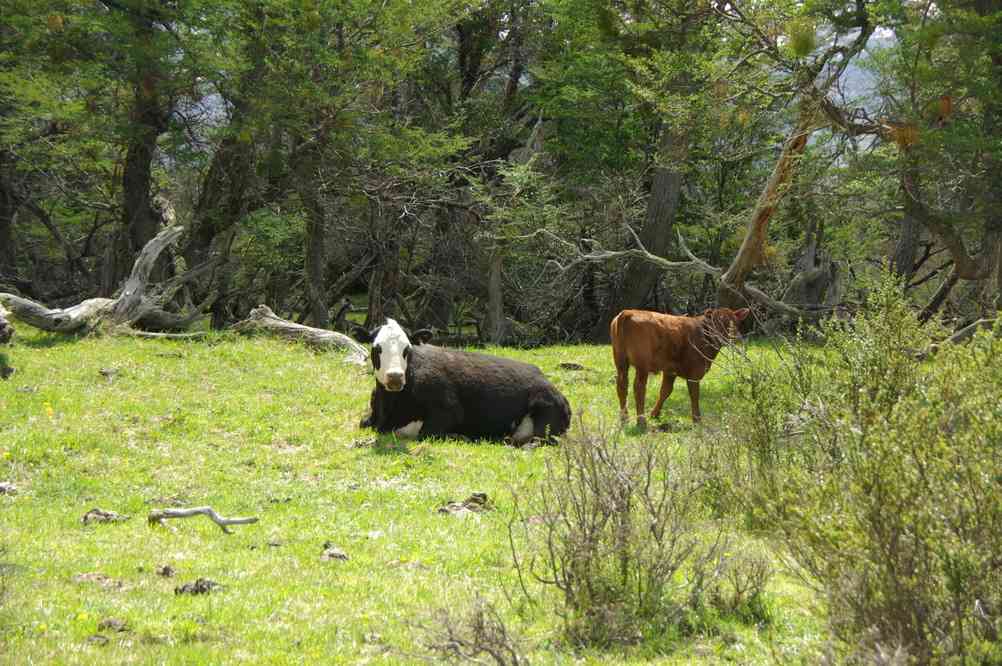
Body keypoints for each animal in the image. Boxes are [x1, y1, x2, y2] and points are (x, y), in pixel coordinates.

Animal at [352, 316, 573, 440]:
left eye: (407, 348)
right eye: (377, 348)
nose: (395, 377)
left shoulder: (449, 410)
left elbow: (426, 433)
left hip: (544, 418)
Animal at [605, 308, 749, 426]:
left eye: (736, 322)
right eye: (717, 323)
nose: (734, 337)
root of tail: (628, 312)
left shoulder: (670, 371)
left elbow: (665, 391)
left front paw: (655, 414)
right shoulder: (694, 372)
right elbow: (694, 395)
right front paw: (697, 420)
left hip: (620, 362)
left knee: (622, 386)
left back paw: (624, 419)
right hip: (642, 365)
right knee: (639, 388)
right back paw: (641, 421)